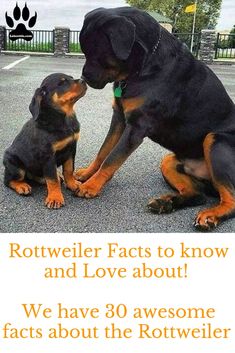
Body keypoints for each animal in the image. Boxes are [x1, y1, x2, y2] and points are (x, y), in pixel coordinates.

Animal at [3, 72, 86, 208]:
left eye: (71, 77)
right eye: (62, 83)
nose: (84, 81)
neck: (64, 118)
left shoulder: (71, 148)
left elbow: (69, 170)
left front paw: (72, 184)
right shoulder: (47, 155)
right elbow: (52, 179)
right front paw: (55, 198)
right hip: (15, 165)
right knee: (8, 180)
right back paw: (22, 186)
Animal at [74, 6, 234, 231]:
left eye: (98, 56)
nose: (84, 78)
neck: (145, 66)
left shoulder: (137, 126)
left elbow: (112, 158)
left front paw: (91, 186)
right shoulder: (119, 118)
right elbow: (103, 151)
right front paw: (88, 174)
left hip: (215, 140)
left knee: (230, 200)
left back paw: (211, 215)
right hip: (168, 161)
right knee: (198, 195)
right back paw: (165, 203)